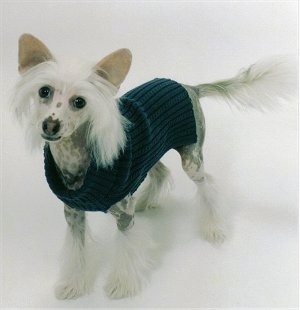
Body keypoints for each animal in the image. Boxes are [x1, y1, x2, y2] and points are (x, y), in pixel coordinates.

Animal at [11, 33, 296, 298]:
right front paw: (73, 285)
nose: (50, 125)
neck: (76, 159)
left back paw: (214, 227)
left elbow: (126, 249)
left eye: (79, 102)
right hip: (151, 150)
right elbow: (76, 250)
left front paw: (122, 285)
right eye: (44, 91)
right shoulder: (72, 214)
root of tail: (189, 87)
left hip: (192, 158)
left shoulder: (124, 215)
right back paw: (147, 200)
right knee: (162, 171)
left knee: (208, 185)